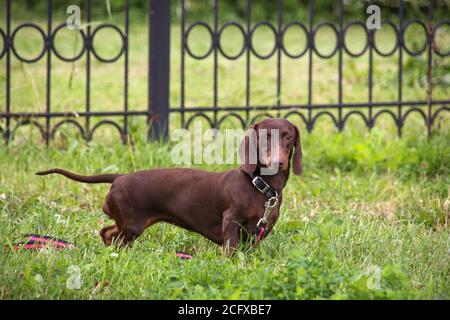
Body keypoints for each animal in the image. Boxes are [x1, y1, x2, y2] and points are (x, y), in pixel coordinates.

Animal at [36, 117, 302, 255]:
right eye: (265, 137)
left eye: (288, 136)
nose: (277, 162)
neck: (261, 187)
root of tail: (120, 177)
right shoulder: (231, 222)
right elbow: (230, 249)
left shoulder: (260, 231)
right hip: (131, 225)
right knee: (112, 234)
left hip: (128, 225)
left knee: (107, 232)